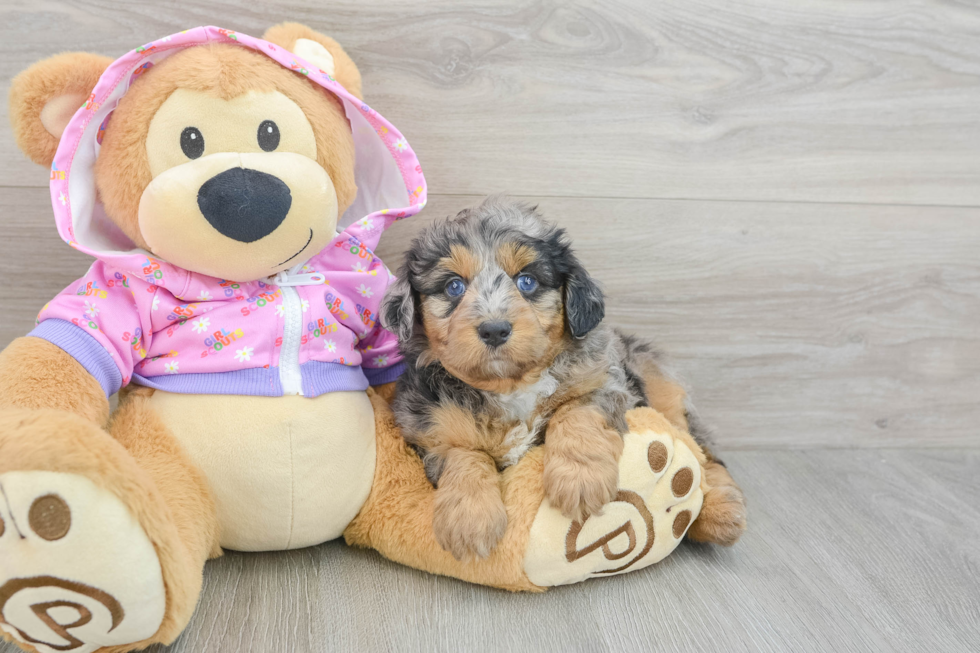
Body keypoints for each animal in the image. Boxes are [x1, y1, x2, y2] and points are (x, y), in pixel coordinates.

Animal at [380, 196, 744, 556]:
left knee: (704, 455)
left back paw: (720, 514)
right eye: (453, 286)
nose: (495, 329)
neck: (510, 385)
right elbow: (464, 454)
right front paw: (470, 519)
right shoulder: (429, 424)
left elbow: (575, 414)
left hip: (664, 392)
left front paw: (580, 481)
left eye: (527, 281)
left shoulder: (605, 382)